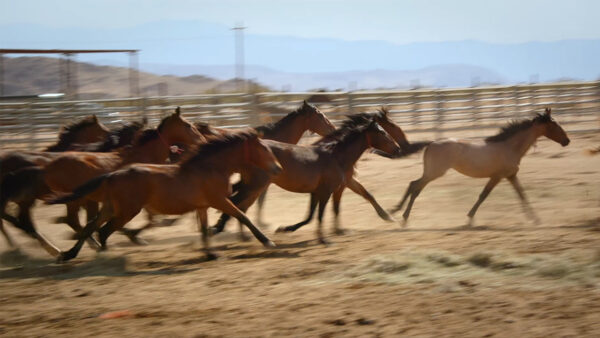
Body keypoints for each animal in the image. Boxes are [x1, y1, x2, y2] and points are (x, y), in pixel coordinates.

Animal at [0, 109, 203, 258]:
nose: (201, 140)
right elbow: (149, 218)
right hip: (65, 200)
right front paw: (134, 236)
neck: (140, 155)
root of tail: (46, 168)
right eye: (187, 125)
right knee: (61, 221)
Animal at [47, 131, 282, 262]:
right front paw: (267, 242)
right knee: (103, 230)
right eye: (264, 150)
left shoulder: (203, 206)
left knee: (91, 226)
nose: (278, 168)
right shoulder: (219, 201)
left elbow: (205, 229)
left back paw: (67, 254)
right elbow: (243, 216)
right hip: (127, 211)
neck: (211, 168)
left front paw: (210, 254)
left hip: (111, 207)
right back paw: (105, 255)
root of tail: (112, 174)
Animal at [392, 107, 568, 226]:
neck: (509, 147)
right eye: (555, 125)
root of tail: (431, 143)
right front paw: (469, 218)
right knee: (415, 187)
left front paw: (535, 219)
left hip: (430, 172)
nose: (567, 141)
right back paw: (403, 217)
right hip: (434, 172)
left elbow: (522, 194)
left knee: (413, 185)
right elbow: (483, 195)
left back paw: (397, 212)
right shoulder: (497, 176)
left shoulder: (511, 176)